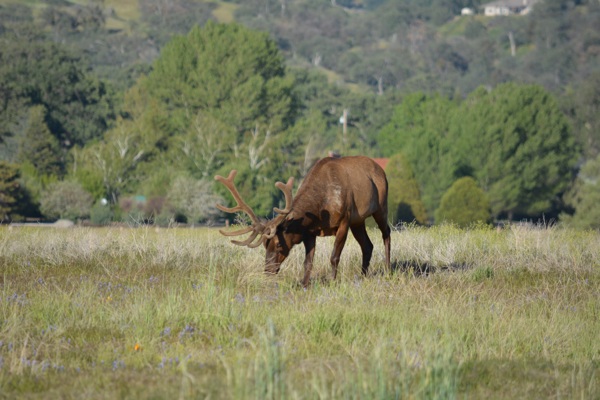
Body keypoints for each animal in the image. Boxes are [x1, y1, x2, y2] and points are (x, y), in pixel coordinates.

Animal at [213, 156, 392, 288]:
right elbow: (308, 262)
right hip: (358, 221)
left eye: (278, 244)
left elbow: (334, 257)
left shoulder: (344, 221)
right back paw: (362, 276)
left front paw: (332, 281)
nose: (268, 271)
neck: (320, 210)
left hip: (380, 207)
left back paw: (388, 269)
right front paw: (304, 285)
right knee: (367, 245)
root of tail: (381, 169)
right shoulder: (310, 232)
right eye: (264, 244)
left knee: (386, 233)